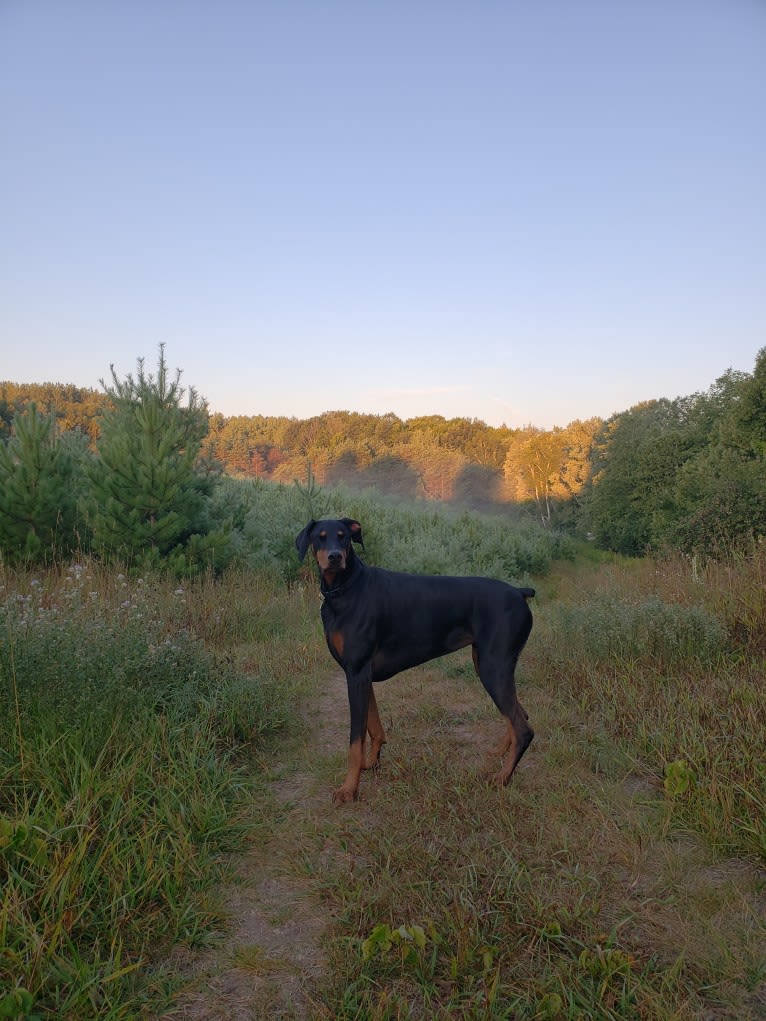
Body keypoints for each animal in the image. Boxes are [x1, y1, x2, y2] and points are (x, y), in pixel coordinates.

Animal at [296, 518, 535, 804]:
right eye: (320, 537)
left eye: (343, 536)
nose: (334, 557)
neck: (346, 589)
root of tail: (520, 593)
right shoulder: (363, 675)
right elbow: (373, 726)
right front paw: (372, 763)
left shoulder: (356, 672)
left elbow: (355, 739)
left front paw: (349, 789)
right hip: (488, 664)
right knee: (519, 715)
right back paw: (499, 753)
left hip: (493, 667)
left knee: (523, 728)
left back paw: (502, 778)